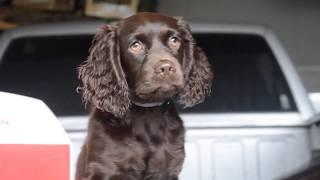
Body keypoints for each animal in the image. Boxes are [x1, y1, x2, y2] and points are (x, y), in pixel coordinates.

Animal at [76, 12, 214, 180]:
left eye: (174, 40)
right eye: (135, 45)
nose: (166, 68)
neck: (147, 112)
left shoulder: (168, 168)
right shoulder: (104, 167)